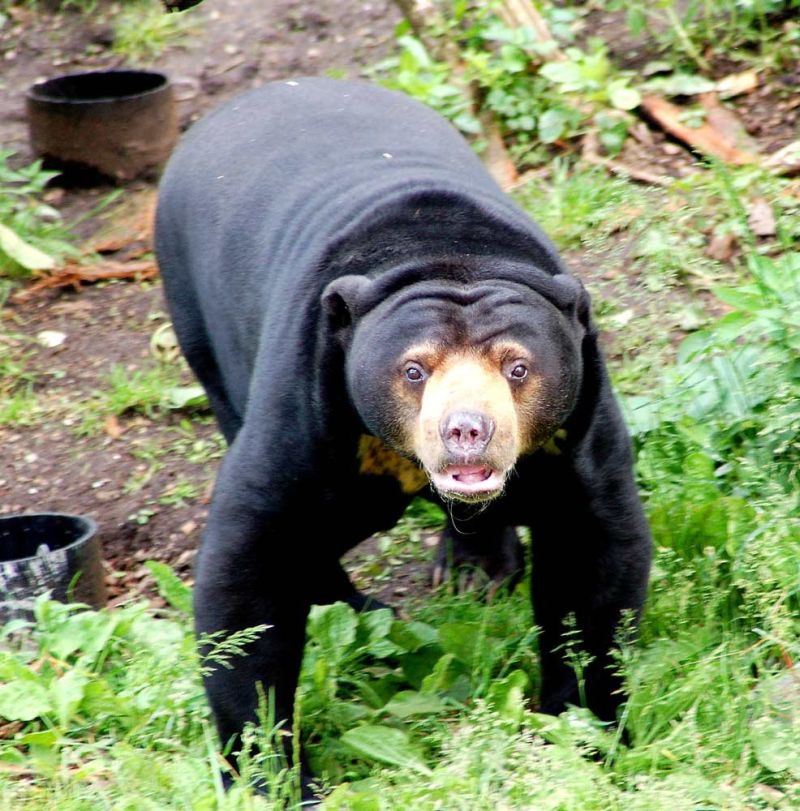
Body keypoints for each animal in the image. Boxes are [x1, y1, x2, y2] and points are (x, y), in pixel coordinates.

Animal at [155, 77, 652, 801]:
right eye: (414, 369)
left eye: (517, 367)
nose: (467, 430)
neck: (447, 253)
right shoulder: (307, 406)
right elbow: (252, 570)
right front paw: (273, 778)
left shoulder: (575, 429)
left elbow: (595, 560)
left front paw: (588, 735)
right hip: (199, 322)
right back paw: (362, 608)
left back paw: (474, 570)